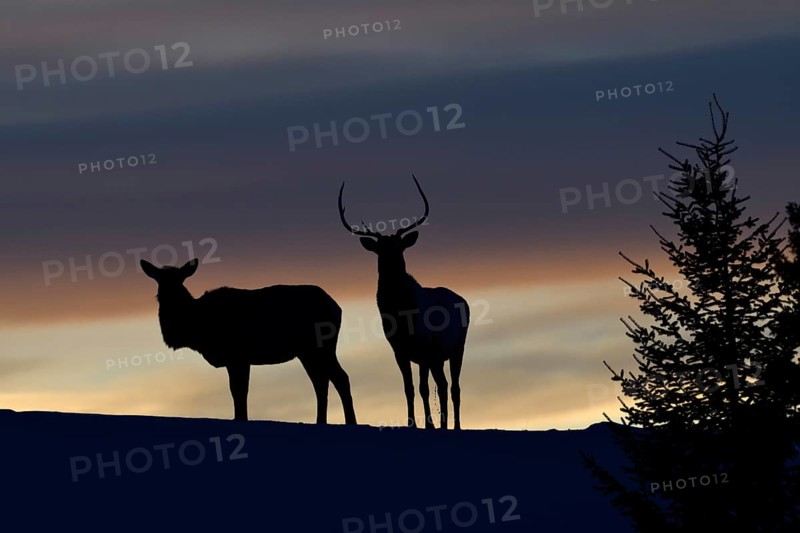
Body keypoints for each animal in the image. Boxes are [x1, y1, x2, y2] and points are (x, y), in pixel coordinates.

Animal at [140, 258, 357, 425]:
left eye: (180, 280)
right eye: (159, 280)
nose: (166, 297)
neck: (196, 329)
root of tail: (337, 308)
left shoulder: (238, 357)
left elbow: (238, 391)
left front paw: (241, 418)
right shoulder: (238, 360)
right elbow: (237, 391)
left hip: (321, 347)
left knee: (340, 378)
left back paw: (351, 422)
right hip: (307, 352)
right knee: (321, 382)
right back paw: (321, 422)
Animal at [337, 174, 469, 430]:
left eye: (399, 247)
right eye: (380, 249)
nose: (391, 265)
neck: (402, 314)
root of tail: (464, 302)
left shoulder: (425, 348)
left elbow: (425, 388)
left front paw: (428, 424)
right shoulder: (399, 350)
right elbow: (409, 388)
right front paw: (413, 423)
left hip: (457, 347)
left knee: (454, 387)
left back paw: (455, 425)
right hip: (438, 357)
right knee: (443, 385)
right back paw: (443, 424)